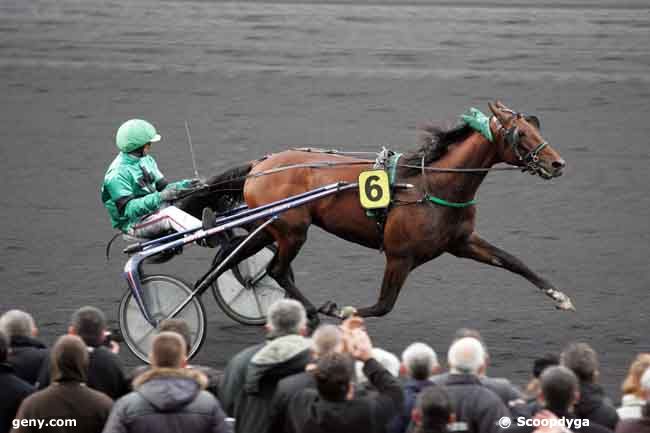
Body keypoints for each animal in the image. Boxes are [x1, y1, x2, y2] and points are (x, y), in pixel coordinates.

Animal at [178, 101, 572, 324]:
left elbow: (514, 261)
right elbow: (384, 304)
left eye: (536, 126)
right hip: (291, 229)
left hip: (269, 226)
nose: (558, 163)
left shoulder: (462, 242)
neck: (432, 185)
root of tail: (260, 165)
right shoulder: (400, 255)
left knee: (234, 259)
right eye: (520, 133)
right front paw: (341, 311)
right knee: (275, 269)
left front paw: (560, 297)